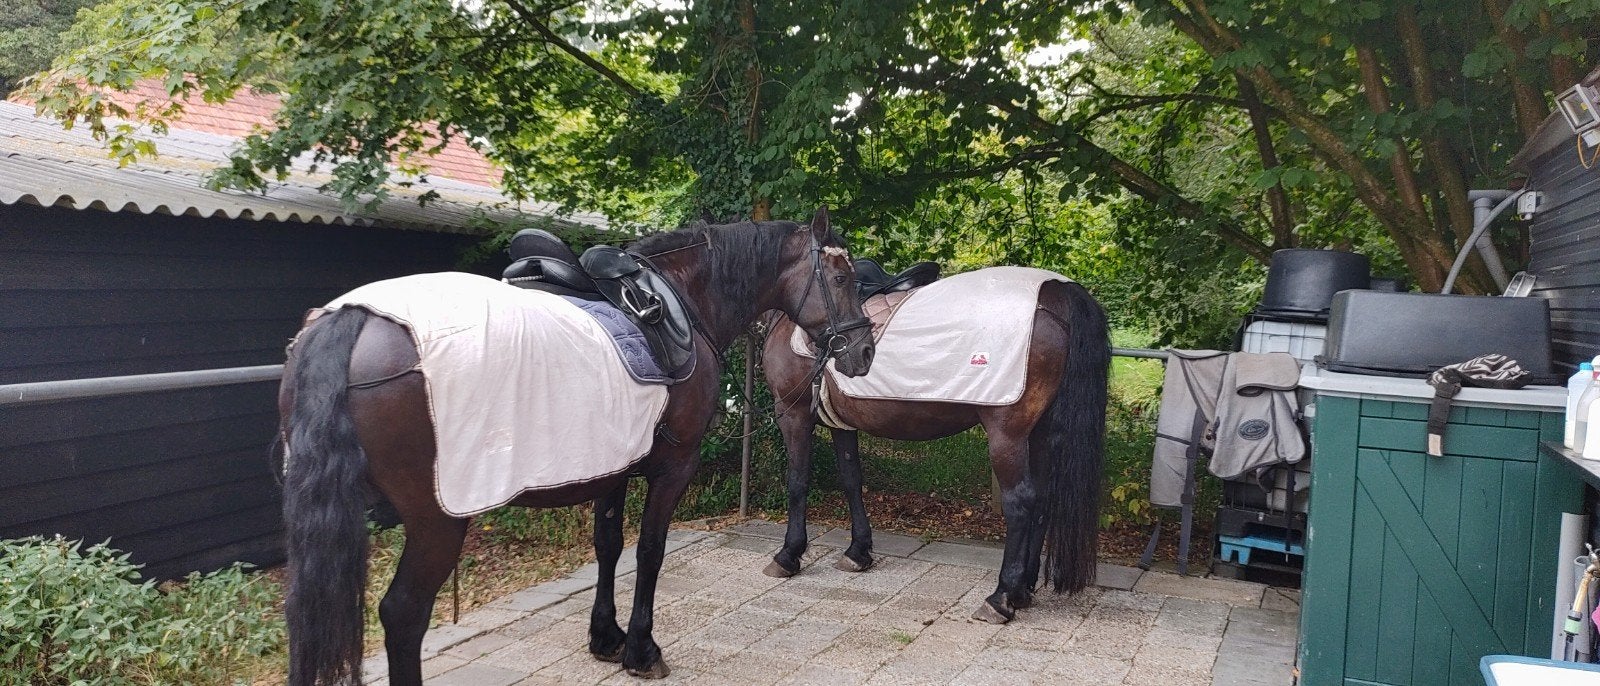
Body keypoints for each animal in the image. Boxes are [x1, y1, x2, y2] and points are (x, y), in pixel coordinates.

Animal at [276, 209, 875, 686]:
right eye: (841, 275)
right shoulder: (674, 467)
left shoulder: (613, 462)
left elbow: (608, 546)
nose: (864, 351)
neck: (685, 300)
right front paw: (641, 649)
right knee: (403, 614)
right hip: (437, 521)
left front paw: (606, 638)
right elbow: (649, 552)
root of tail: (351, 319)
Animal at [759, 270, 1109, 623]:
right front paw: (858, 552)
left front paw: (788, 555)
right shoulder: (840, 422)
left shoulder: (792, 413)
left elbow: (797, 482)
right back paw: (1022, 591)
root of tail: (1056, 292)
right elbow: (851, 479)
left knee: (1021, 503)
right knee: (1041, 501)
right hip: (1039, 433)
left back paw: (1000, 598)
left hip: (1007, 435)